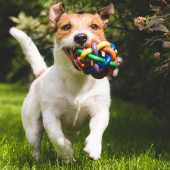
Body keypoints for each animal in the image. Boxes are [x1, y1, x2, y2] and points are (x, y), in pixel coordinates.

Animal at [9, 1, 114, 163]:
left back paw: (68, 161)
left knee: (69, 137)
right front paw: (65, 151)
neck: (77, 79)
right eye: (67, 26)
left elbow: (97, 131)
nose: (81, 37)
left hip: (73, 130)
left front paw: (93, 149)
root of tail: (42, 72)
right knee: (36, 144)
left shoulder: (100, 110)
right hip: (32, 126)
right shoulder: (50, 114)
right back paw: (41, 159)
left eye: (94, 26)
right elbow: (57, 138)